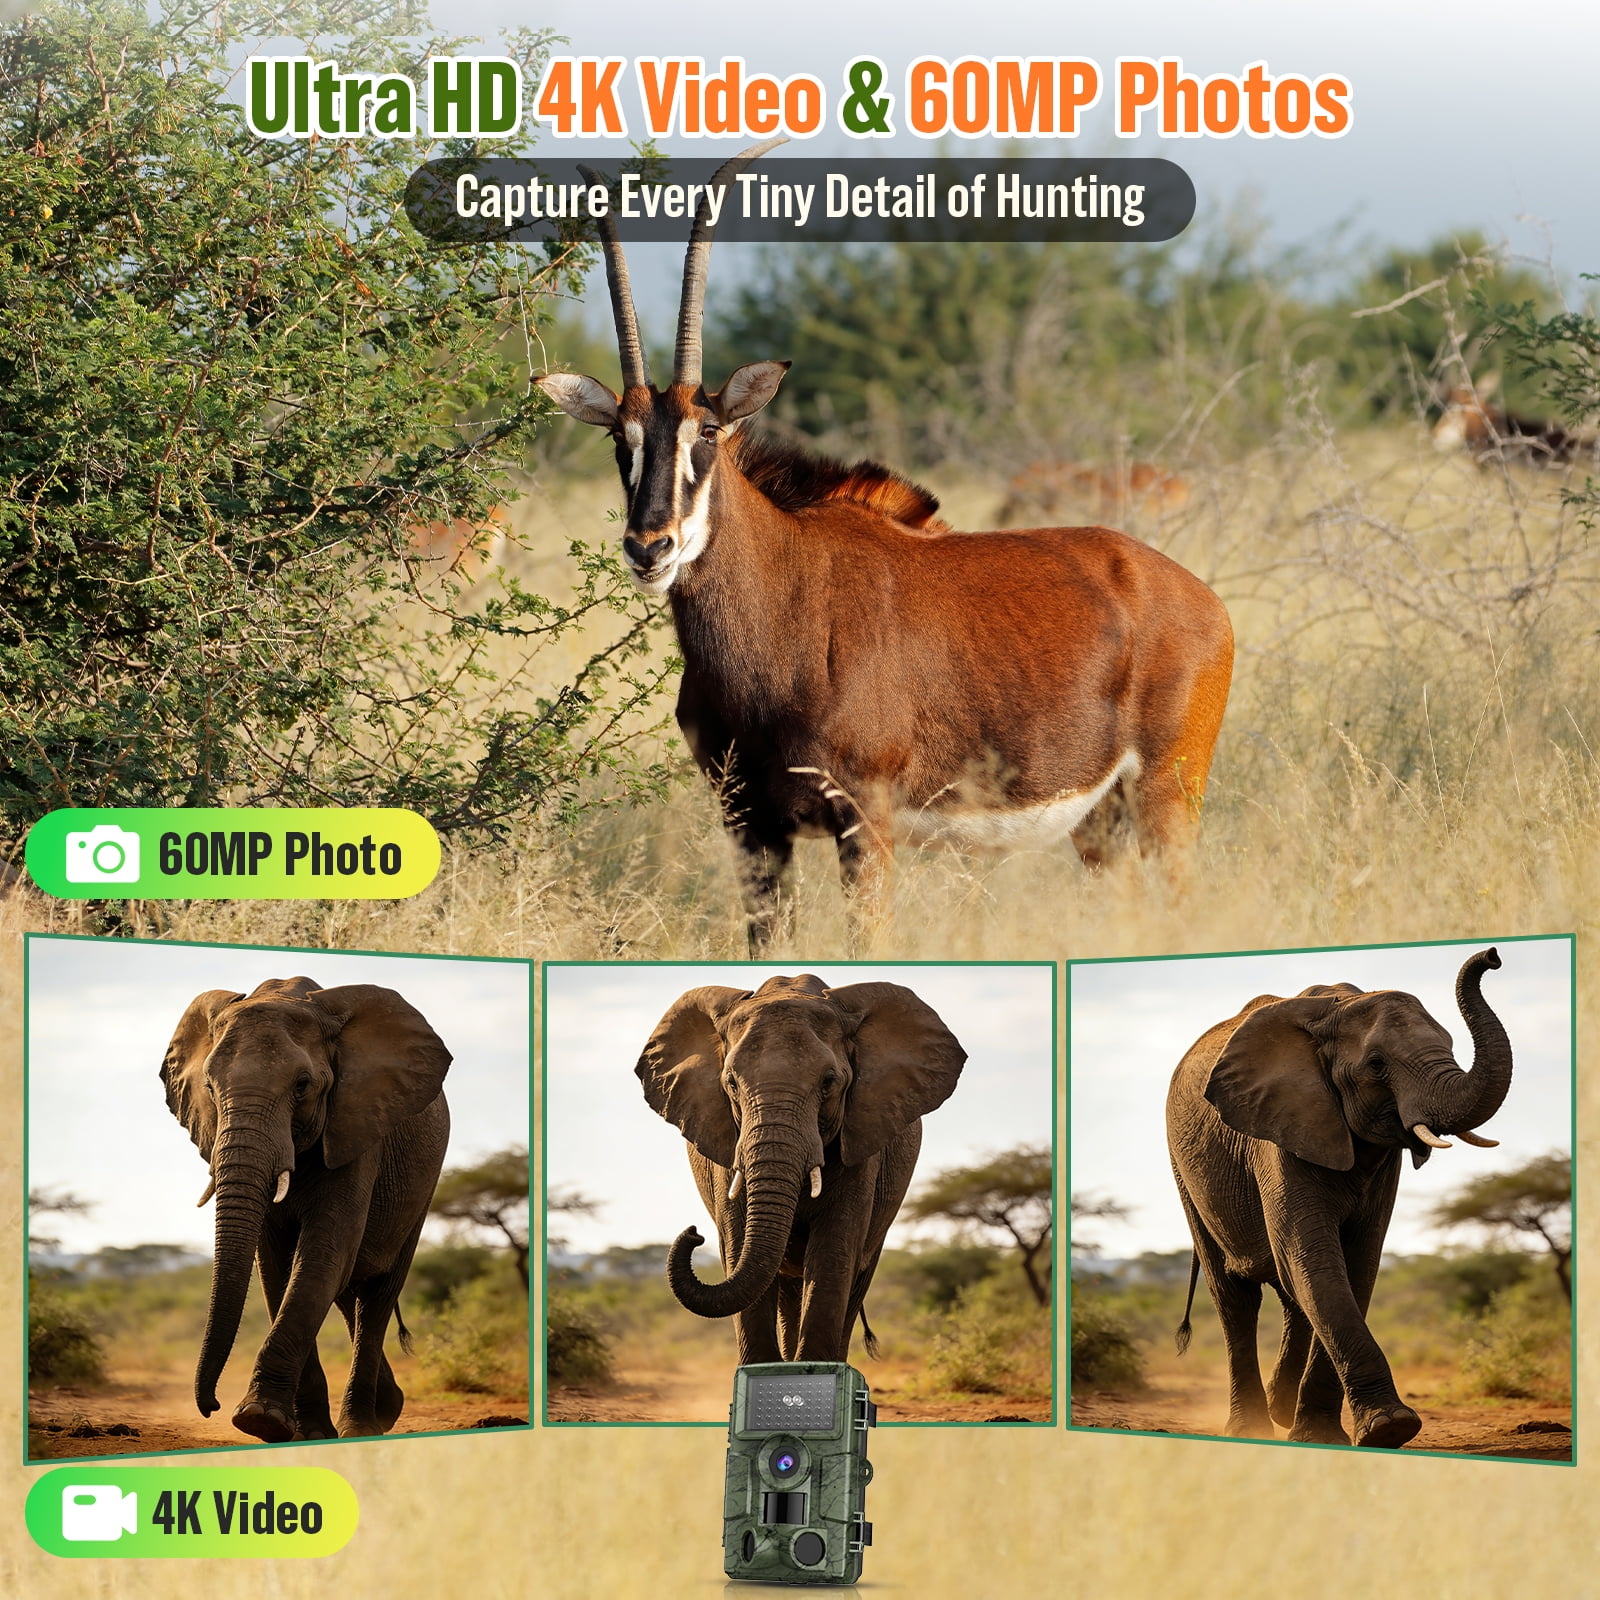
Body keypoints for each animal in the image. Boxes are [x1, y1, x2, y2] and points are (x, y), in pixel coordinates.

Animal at [536, 139, 1234, 951]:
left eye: (707, 431)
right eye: (620, 438)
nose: (650, 546)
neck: (782, 607)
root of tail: (1201, 600)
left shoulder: (864, 818)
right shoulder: (750, 824)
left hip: (1167, 795)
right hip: (1099, 821)